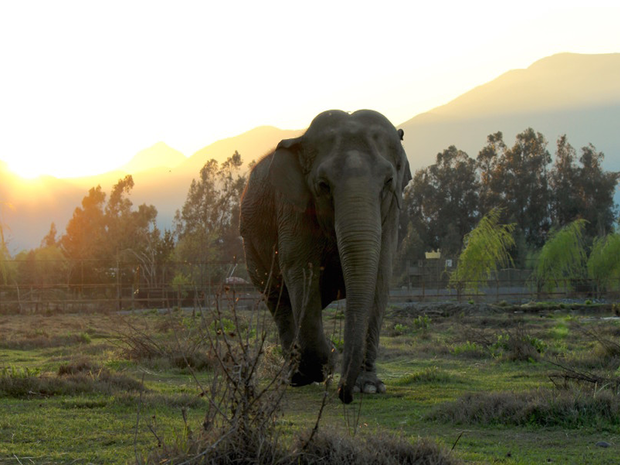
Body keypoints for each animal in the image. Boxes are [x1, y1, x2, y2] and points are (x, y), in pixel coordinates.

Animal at [240, 109, 410, 402]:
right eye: (323, 185)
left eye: (389, 182)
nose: (344, 394)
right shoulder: (292, 207)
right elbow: (300, 268)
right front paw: (327, 361)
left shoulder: (391, 215)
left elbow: (379, 274)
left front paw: (369, 387)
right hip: (250, 245)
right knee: (278, 298)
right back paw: (296, 376)